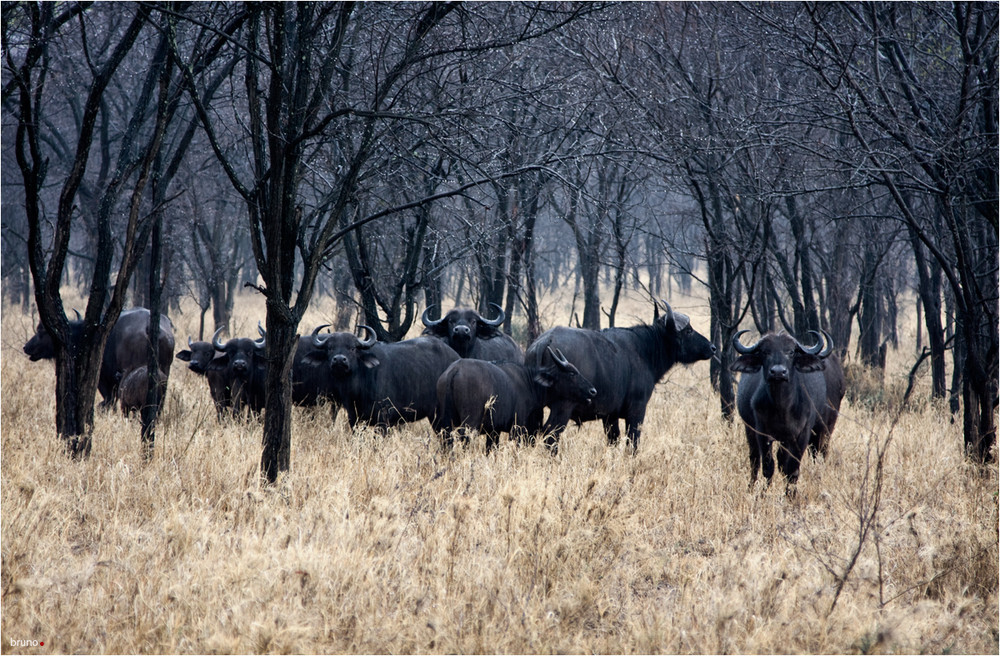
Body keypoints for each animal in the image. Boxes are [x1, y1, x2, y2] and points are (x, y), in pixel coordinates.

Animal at [23, 308, 176, 410]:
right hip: (164, 373)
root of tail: (150, 328)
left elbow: (108, 401)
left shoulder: (103, 378)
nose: (26, 347)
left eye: (41, 330)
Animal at [304, 326, 460, 430]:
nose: (339, 360)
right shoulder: (354, 419)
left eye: (352, 348)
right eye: (330, 348)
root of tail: (456, 357)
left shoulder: (383, 419)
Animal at [436, 344, 592, 452]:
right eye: (572, 373)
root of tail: (454, 371)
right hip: (469, 424)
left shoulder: (494, 432)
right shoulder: (517, 430)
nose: (592, 391)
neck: (529, 382)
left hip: (446, 423)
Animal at [524, 302, 720, 452]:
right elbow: (632, 442)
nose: (712, 347)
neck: (644, 349)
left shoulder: (610, 416)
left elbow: (613, 440)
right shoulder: (637, 410)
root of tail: (544, 342)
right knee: (550, 436)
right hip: (562, 407)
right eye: (688, 331)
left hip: (535, 409)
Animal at [736, 328, 844, 492]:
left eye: (791, 352)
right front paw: (763, 493)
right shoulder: (762, 433)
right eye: (765, 351)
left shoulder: (802, 434)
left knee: (819, 454)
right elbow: (768, 467)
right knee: (755, 460)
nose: (778, 372)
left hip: (825, 428)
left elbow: (792, 469)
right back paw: (751, 486)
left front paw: (790, 494)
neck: (782, 408)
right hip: (750, 430)